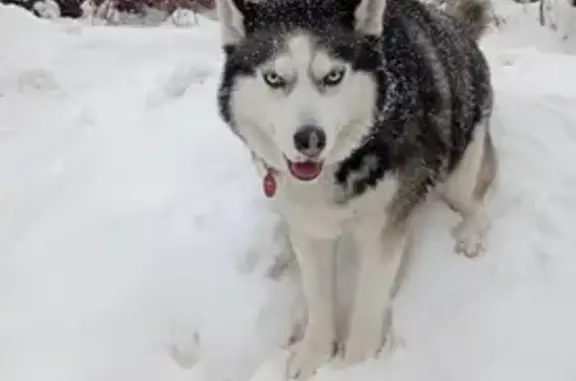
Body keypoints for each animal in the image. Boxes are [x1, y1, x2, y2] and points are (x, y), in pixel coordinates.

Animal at [215, 0, 496, 378]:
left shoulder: (382, 231)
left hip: (460, 169)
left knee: (476, 202)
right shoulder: (308, 226)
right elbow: (318, 295)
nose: (310, 139)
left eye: (333, 76)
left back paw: (471, 234)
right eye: (273, 78)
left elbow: (367, 302)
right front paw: (315, 354)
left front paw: (354, 366)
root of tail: (457, 28)